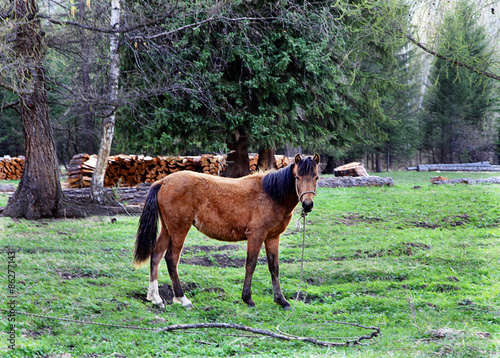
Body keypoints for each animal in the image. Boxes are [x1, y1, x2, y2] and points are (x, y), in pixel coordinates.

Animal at [134, 152, 320, 310]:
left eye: (316, 177)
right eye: (297, 177)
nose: (307, 204)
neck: (270, 194)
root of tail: (162, 182)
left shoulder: (273, 237)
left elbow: (274, 267)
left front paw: (281, 300)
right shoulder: (256, 235)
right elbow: (250, 264)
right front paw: (247, 298)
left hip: (168, 229)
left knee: (156, 256)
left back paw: (156, 298)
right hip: (179, 229)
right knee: (171, 259)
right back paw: (183, 299)